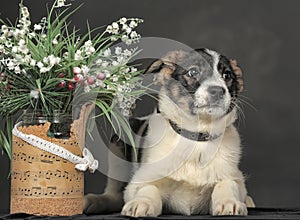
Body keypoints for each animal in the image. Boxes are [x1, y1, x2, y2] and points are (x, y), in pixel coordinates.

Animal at [83, 48, 254, 217]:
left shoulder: (234, 177)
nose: (218, 91)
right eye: (193, 72)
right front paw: (142, 202)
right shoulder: (138, 182)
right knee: (114, 194)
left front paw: (228, 202)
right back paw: (94, 201)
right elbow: (149, 187)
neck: (195, 138)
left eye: (227, 75)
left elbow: (227, 183)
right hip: (116, 149)